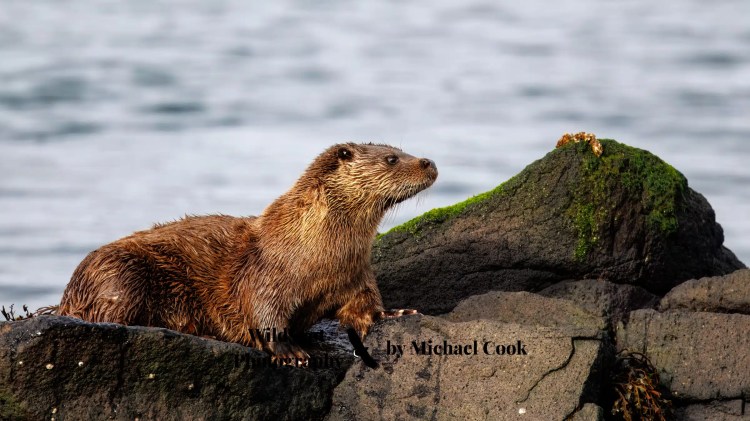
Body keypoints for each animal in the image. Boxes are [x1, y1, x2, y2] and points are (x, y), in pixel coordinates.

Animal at [59, 143, 437, 361]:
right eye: (391, 159)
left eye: (401, 149)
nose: (428, 162)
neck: (318, 253)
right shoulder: (266, 275)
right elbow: (263, 314)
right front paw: (290, 351)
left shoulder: (357, 275)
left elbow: (366, 306)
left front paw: (396, 313)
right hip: (119, 275)